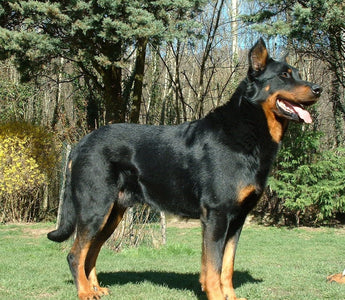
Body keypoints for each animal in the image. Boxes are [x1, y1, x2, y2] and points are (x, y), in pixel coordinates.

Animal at [47, 39, 322, 300]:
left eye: (298, 74)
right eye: (284, 75)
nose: (318, 89)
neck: (250, 128)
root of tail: (80, 144)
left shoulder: (237, 218)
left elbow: (227, 266)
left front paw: (230, 296)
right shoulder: (216, 214)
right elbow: (212, 267)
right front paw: (216, 295)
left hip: (112, 213)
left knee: (91, 251)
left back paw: (95, 287)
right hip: (95, 208)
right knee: (75, 254)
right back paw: (85, 292)